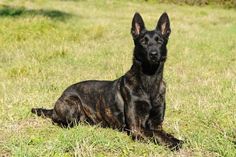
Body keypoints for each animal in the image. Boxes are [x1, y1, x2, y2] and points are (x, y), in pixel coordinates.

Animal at [30, 11, 183, 150]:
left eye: (159, 41)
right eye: (143, 42)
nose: (153, 54)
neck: (149, 80)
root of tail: (59, 98)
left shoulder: (157, 124)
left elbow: (162, 133)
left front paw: (174, 139)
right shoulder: (136, 128)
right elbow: (154, 134)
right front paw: (174, 143)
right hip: (73, 104)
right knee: (61, 121)